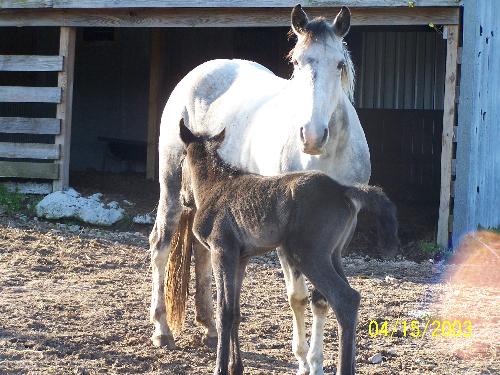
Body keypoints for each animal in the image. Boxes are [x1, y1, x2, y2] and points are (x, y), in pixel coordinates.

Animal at [148, 4, 372, 374]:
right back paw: (161, 330)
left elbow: (321, 300)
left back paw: (209, 327)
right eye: (296, 61)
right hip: (172, 188)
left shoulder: (336, 241)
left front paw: (316, 361)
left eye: (339, 63)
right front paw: (302, 360)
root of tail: (200, 72)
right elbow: (298, 297)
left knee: (202, 256)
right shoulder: (288, 242)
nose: (312, 136)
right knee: (161, 246)